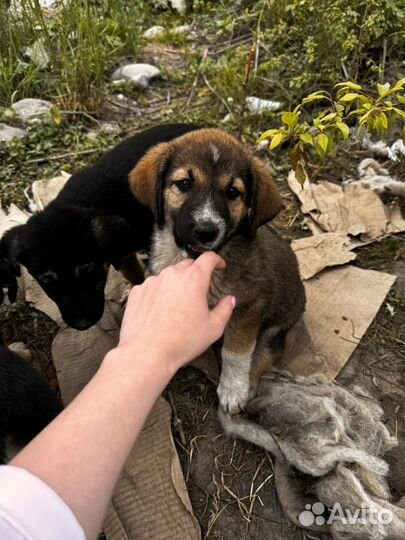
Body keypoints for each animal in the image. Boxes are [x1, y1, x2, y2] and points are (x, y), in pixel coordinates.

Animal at [129, 130, 304, 414]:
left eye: (233, 192)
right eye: (184, 183)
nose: (205, 230)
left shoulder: (248, 306)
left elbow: (236, 351)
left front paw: (233, 390)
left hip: (276, 326)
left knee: (266, 354)